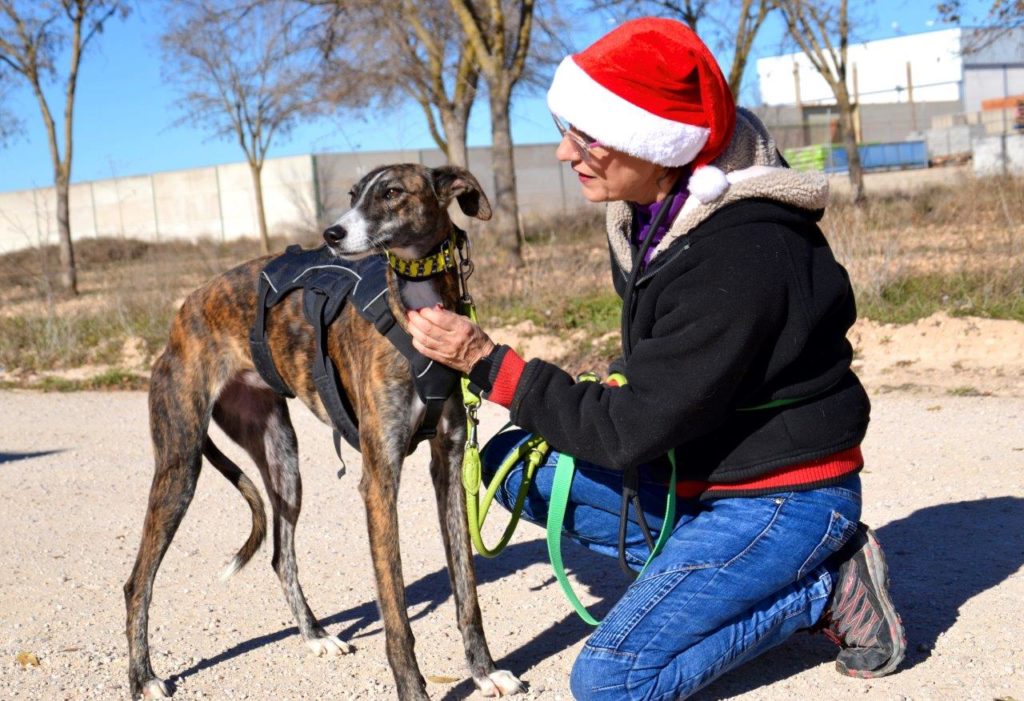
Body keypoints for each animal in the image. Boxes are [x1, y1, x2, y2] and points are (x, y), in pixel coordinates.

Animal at [126, 165, 524, 699]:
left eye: (392, 192)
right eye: (354, 194)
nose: (331, 234)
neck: (413, 308)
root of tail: (181, 314)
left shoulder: (450, 466)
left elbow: (467, 590)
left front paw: (484, 670)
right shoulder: (379, 481)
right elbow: (396, 612)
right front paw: (414, 688)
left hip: (283, 463)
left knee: (281, 556)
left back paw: (315, 636)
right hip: (180, 465)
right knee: (138, 582)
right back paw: (143, 677)